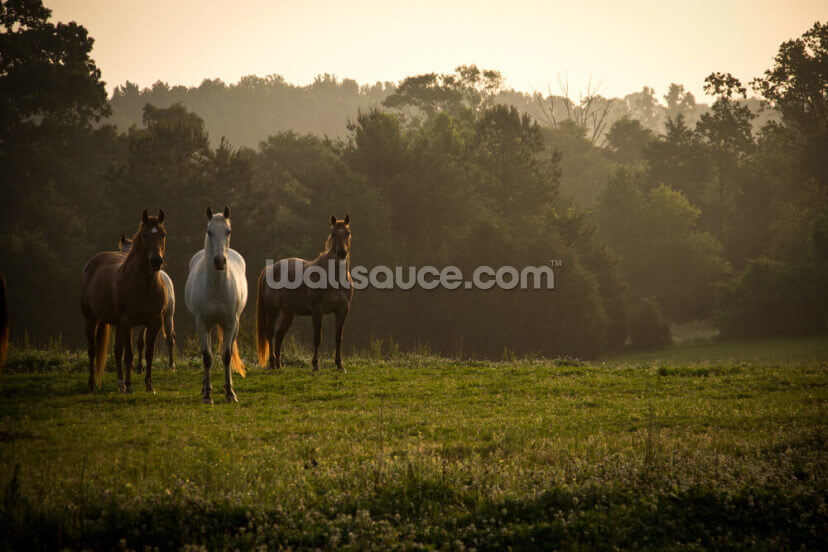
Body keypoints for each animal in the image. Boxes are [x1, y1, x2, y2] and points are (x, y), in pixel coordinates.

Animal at [80, 210, 169, 393]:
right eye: (144, 235)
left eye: (162, 234)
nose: (156, 261)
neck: (144, 287)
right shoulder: (127, 323)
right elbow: (128, 354)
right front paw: (129, 385)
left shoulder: (154, 323)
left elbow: (148, 353)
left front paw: (149, 386)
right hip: (91, 320)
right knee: (93, 350)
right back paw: (93, 384)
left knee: (116, 350)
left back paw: (119, 383)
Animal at [118, 234, 176, 372]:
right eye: (121, 251)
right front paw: (129, 364)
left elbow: (140, 342)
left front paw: (139, 367)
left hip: (168, 316)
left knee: (170, 338)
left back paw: (171, 364)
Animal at [184, 206, 247, 404]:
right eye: (209, 231)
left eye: (228, 231)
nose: (219, 261)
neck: (216, 287)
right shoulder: (202, 323)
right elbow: (207, 357)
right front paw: (207, 394)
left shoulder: (230, 322)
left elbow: (226, 355)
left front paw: (230, 393)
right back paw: (205, 388)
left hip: (234, 325)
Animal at [256, 214, 353, 372]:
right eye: (333, 233)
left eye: (347, 233)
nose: (341, 253)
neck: (333, 278)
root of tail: (269, 269)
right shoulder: (317, 312)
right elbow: (317, 338)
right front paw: (315, 365)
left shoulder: (342, 310)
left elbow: (338, 337)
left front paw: (340, 365)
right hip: (273, 310)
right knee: (270, 332)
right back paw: (271, 363)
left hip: (289, 313)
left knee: (279, 334)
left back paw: (278, 364)